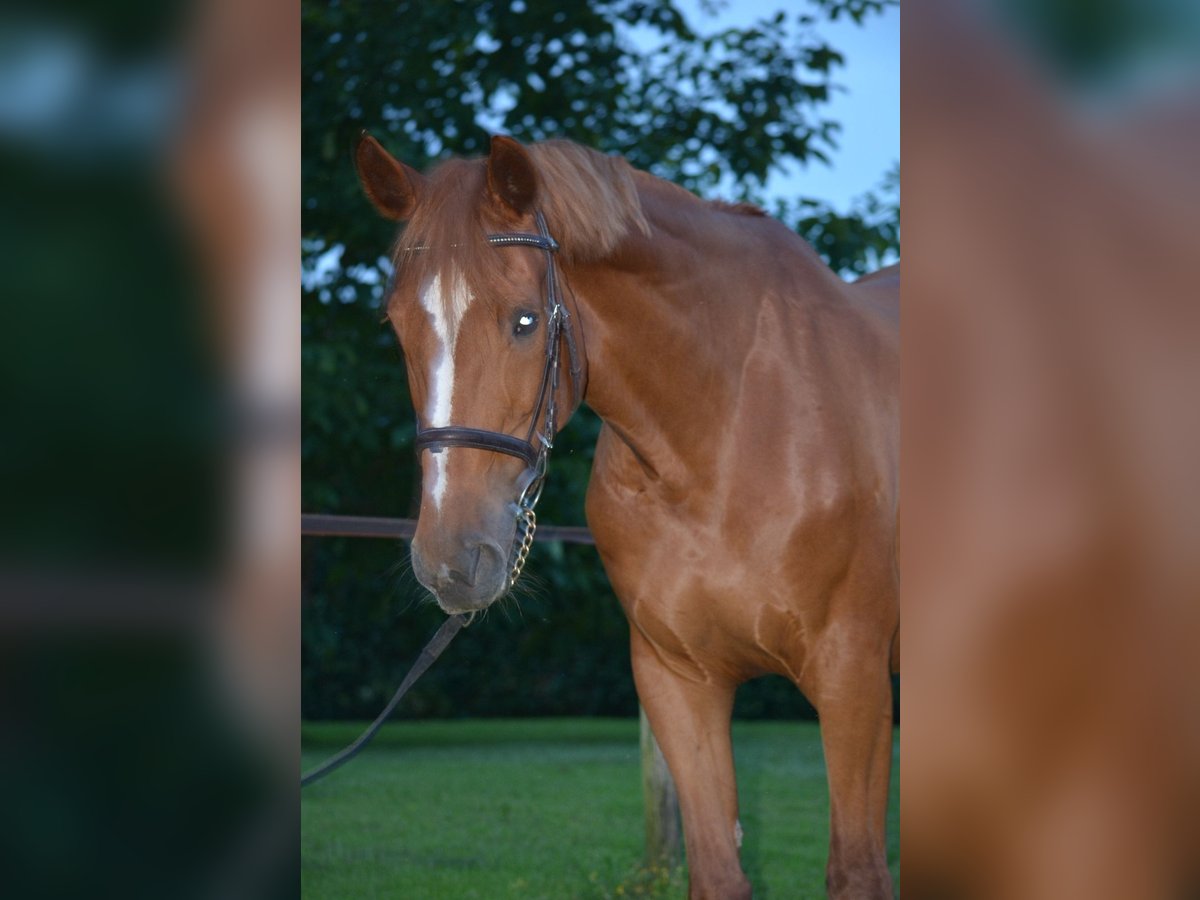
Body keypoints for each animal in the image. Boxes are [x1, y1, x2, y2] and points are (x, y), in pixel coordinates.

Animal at [350, 130, 897, 897]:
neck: (729, 432)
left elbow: (857, 872)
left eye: (525, 320)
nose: (451, 560)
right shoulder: (678, 682)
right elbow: (717, 871)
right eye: (397, 327)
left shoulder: (854, 682)